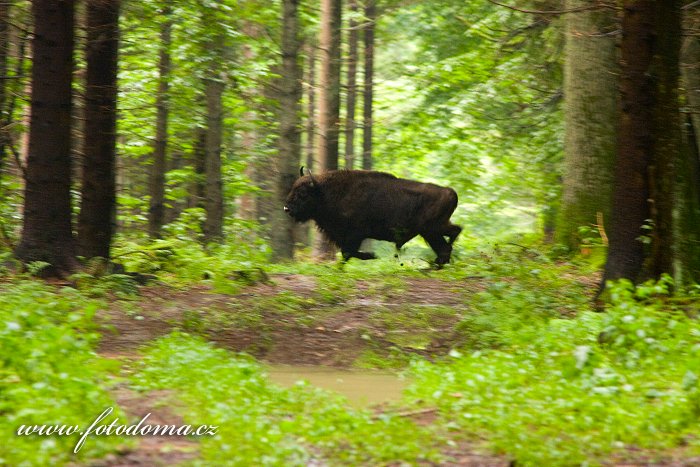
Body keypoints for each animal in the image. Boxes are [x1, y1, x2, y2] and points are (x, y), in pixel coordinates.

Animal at [282, 168, 462, 266]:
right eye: (293, 188)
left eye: (303, 193)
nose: (287, 208)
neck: (326, 192)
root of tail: (451, 192)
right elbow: (346, 253)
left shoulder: (355, 234)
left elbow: (347, 253)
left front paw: (371, 256)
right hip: (431, 232)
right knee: (448, 243)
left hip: (431, 230)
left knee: (452, 237)